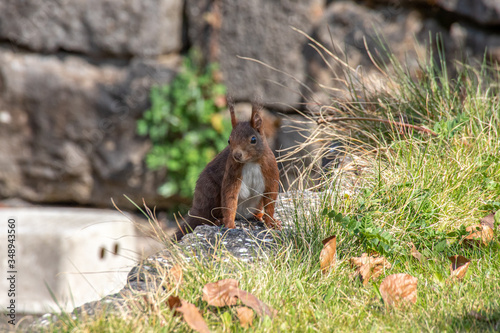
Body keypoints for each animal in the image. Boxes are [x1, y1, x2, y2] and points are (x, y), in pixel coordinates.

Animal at [174, 101, 280, 239]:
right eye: (229, 140)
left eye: (253, 140)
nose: (237, 155)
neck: (250, 162)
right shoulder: (231, 172)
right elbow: (230, 198)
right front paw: (230, 225)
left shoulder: (271, 171)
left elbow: (270, 200)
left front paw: (271, 222)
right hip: (211, 193)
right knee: (207, 217)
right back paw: (218, 221)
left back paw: (258, 216)